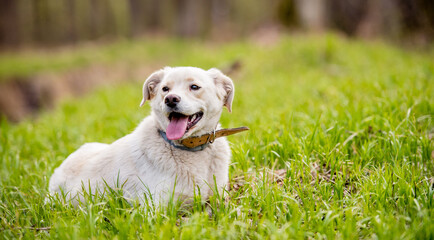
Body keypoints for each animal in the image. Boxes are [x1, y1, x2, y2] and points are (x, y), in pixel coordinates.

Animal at [47, 66, 248, 205]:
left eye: (194, 87)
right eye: (165, 89)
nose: (171, 99)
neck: (191, 149)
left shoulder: (218, 197)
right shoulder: (154, 208)